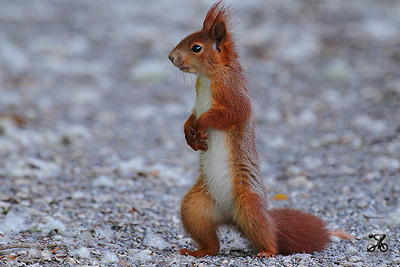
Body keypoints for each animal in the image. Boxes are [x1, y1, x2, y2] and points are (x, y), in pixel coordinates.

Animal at [167, 0, 348, 260]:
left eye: (196, 48)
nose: (171, 57)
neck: (208, 77)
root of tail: (229, 217)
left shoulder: (234, 97)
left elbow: (225, 115)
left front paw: (200, 126)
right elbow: (191, 115)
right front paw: (188, 133)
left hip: (249, 204)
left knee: (266, 233)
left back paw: (266, 252)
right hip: (195, 208)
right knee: (212, 244)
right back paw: (196, 251)